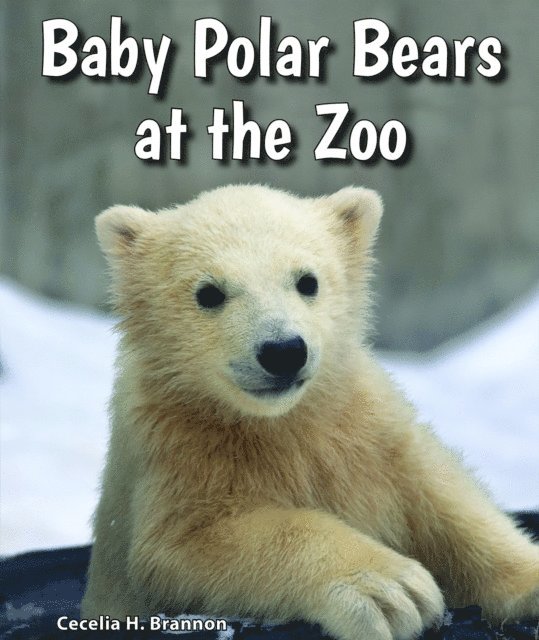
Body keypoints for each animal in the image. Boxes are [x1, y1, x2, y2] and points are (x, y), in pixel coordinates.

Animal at [82, 184, 539, 640]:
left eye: (307, 281)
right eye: (208, 292)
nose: (283, 351)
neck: (279, 422)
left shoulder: (364, 426)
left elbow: (441, 498)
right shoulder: (178, 451)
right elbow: (189, 544)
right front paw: (390, 592)